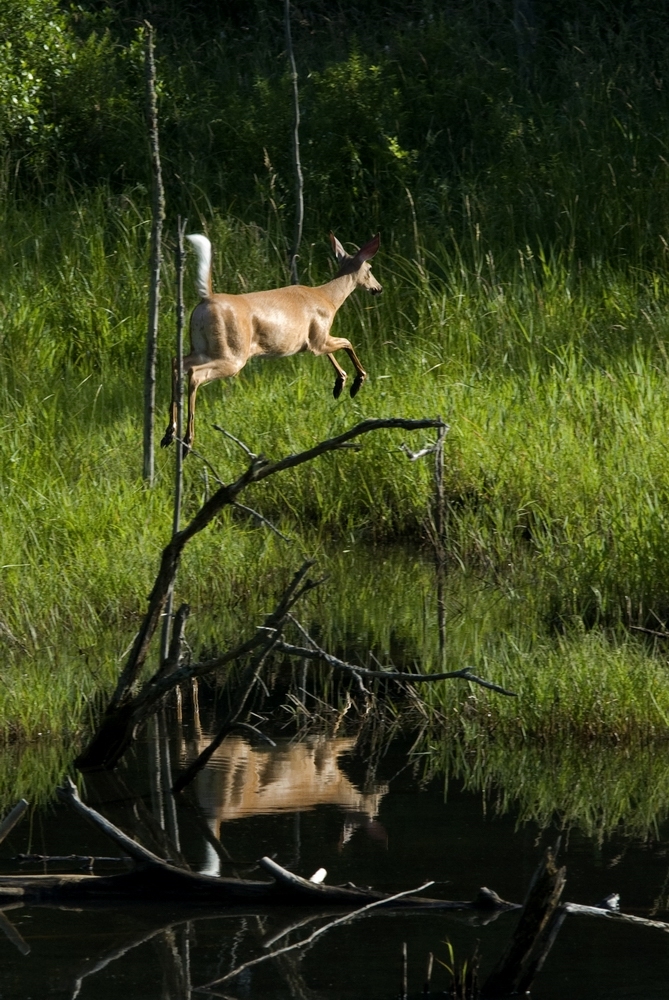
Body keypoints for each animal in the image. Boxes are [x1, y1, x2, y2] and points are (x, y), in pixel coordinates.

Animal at [160, 230, 380, 454]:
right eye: (370, 269)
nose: (378, 288)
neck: (329, 299)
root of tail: (207, 299)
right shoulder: (319, 337)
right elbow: (347, 342)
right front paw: (356, 383)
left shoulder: (315, 340)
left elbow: (333, 352)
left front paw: (340, 384)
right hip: (233, 353)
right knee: (195, 374)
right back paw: (187, 440)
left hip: (203, 347)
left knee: (177, 362)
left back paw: (169, 433)